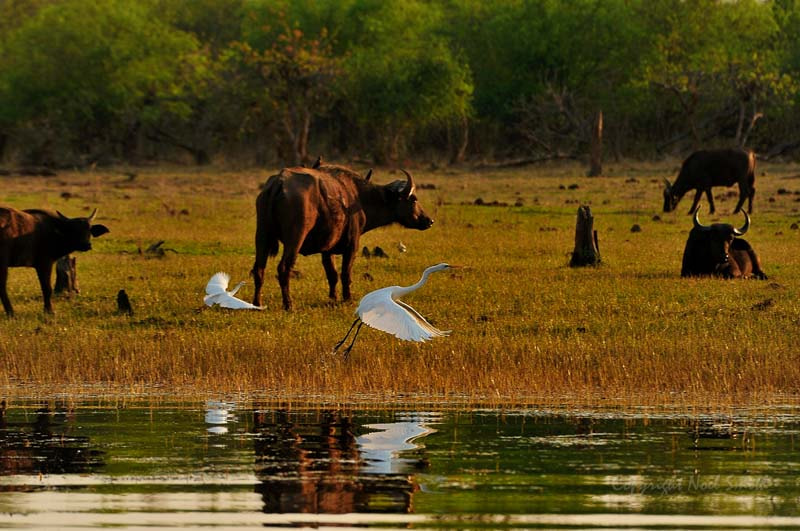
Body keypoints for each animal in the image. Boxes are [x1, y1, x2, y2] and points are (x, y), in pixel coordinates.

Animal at [253, 164, 434, 310]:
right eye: (413, 199)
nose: (429, 220)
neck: (359, 198)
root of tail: (279, 183)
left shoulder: (327, 250)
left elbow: (332, 274)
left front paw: (332, 298)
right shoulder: (352, 246)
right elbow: (346, 274)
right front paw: (347, 298)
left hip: (261, 235)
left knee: (259, 269)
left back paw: (257, 303)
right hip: (295, 238)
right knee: (283, 268)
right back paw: (288, 304)